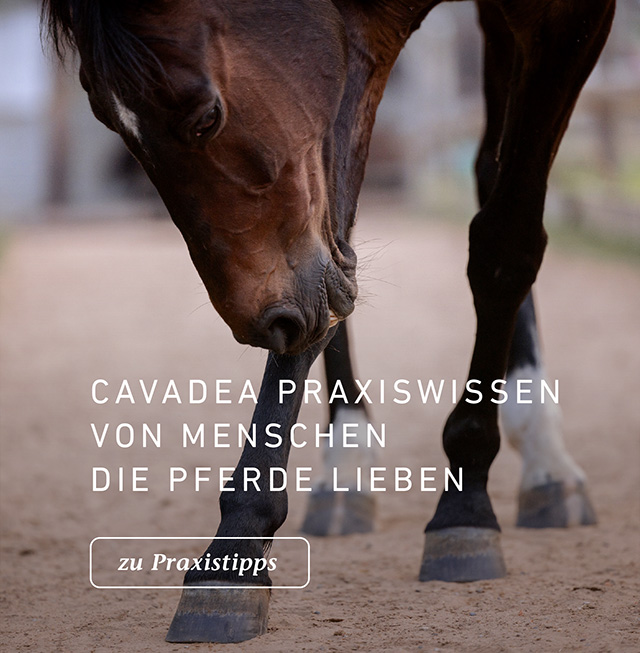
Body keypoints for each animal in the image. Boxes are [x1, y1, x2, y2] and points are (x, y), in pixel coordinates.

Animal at [42, 0, 614, 643]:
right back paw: (349, 467)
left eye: (206, 117)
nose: (261, 323)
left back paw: (544, 455)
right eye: (112, 125)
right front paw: (234, 553)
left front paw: (465, 499)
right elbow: (329, 256)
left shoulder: (567, 19)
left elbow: (504, 242)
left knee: (495, 180)